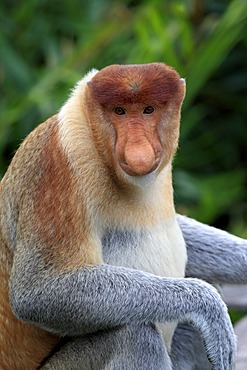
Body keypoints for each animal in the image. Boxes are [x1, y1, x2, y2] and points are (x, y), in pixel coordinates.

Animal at [0, 62, 245, 368]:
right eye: (119, 111)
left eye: (149, 109)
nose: (138, 151)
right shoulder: (57, 165)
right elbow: (37, 292)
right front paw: (208, 306)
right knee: (135, 335)